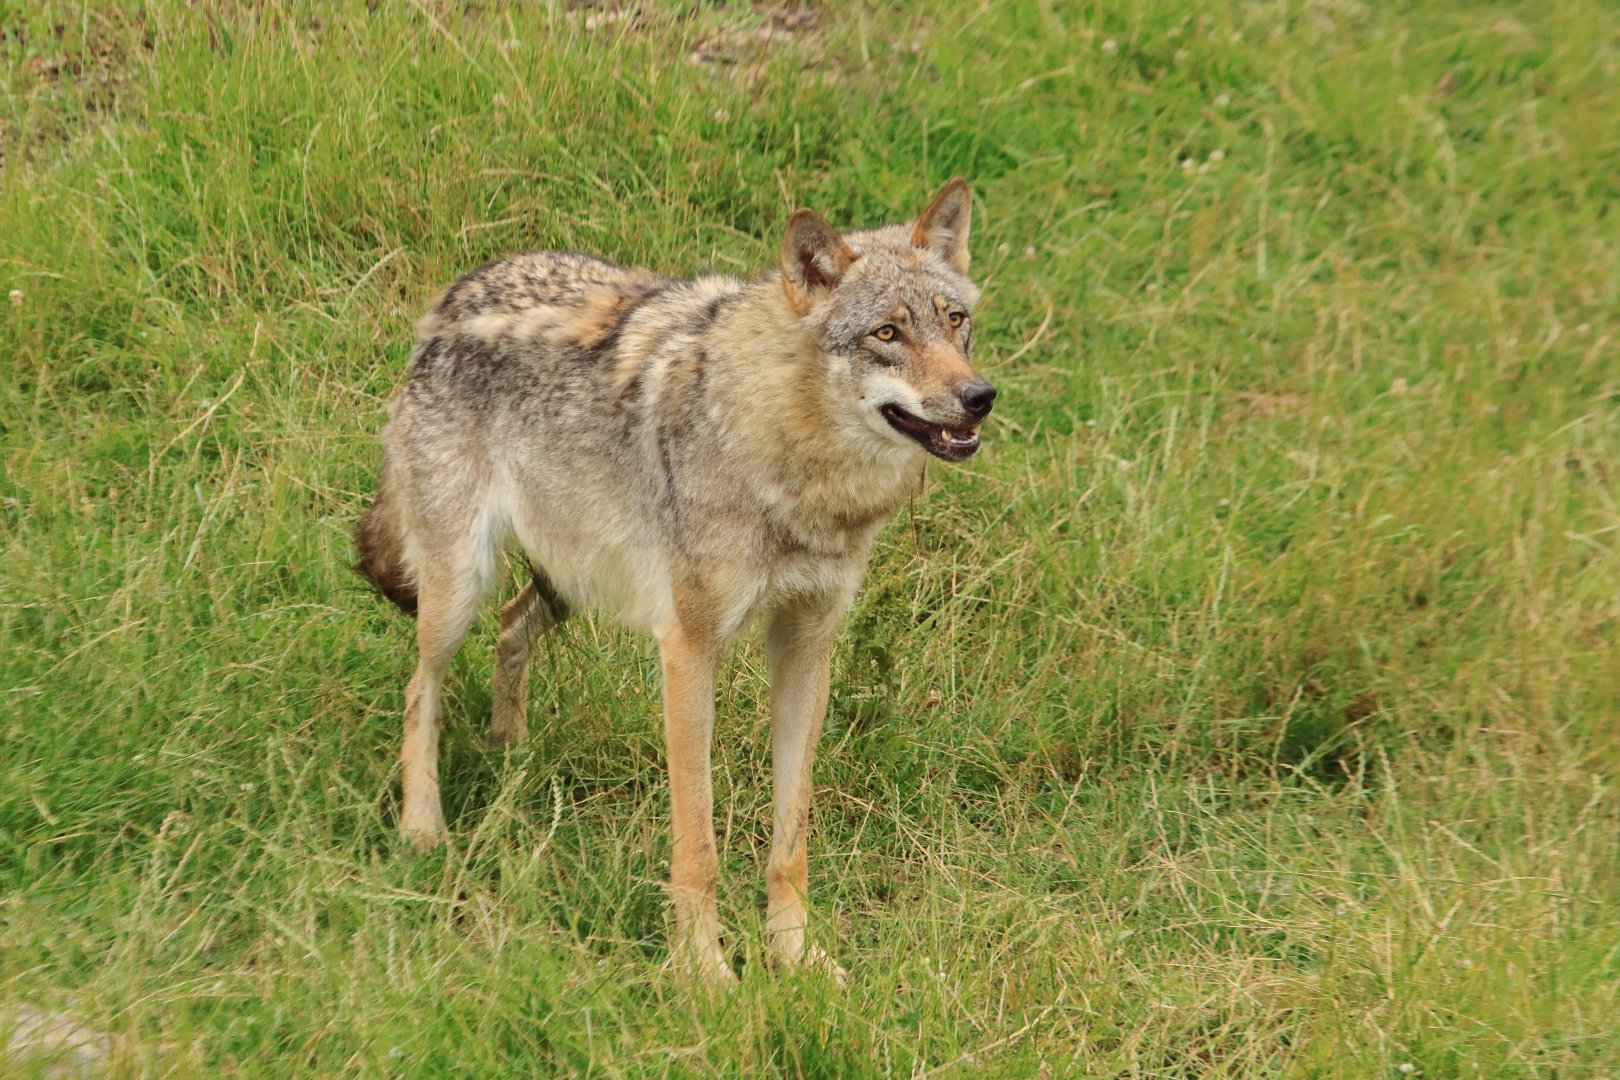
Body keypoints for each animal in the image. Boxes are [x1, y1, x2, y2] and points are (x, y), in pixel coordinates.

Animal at [355, 178, 995, 982]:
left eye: (955, 321)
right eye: (887, 334)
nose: (979, 397)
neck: (794, 467)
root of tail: (454, 294)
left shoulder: (807, 647)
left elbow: (791, 840)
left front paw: (799, 958)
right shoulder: (688, 650)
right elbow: (698, 843)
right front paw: (706, 973)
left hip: (566, 586)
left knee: (510, 628)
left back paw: (512, 752)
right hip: (456, 591)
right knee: (421, 689)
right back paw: (423, 831)